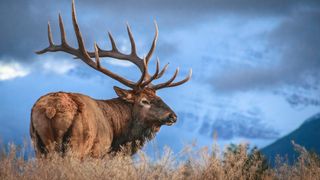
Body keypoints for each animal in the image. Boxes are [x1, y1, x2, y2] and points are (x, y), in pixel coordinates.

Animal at [30, 0, 191, 158]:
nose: (173, 116)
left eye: (159, 97)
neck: (117, 136)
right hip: (77, 145)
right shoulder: (98, 152)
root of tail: (51, 109)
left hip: (38, 145)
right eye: (144, 101)